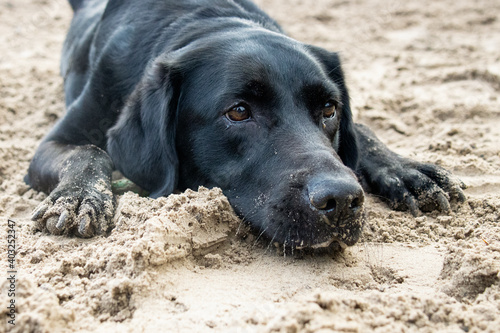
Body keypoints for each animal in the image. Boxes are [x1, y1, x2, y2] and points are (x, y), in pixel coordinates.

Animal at [26, 0, 464, 249]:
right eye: (237, 112)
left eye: (329, 109)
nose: (342, 200)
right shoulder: (57, 140)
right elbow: (89, 151)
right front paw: (80, 197)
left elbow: (364, 134)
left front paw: (405, 170)